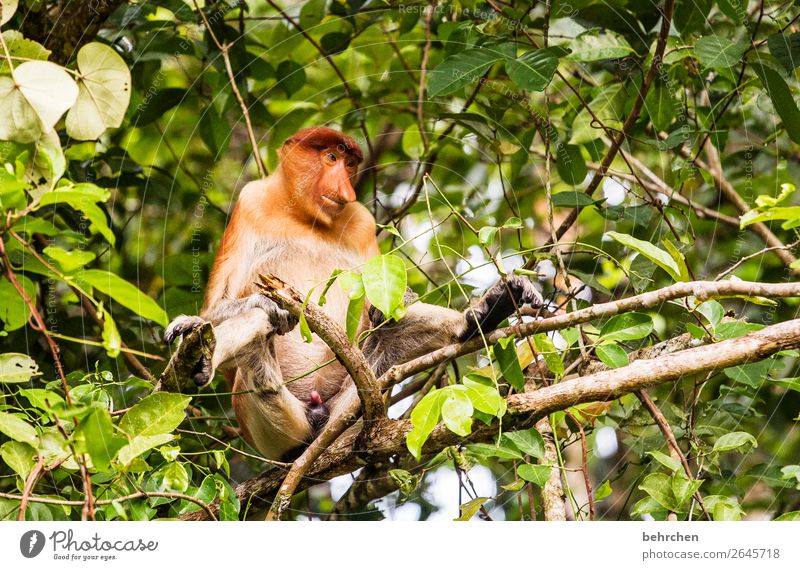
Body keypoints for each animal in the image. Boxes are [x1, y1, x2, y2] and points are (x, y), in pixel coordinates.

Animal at [166, 126, 540, 460]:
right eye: (331, 158)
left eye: (349, 165)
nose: (345, 189)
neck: (303, 216)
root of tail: (316, 417)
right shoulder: (249, 202)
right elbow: (217, 305)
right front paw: (208, 318)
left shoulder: (361, 219)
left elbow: (383, 300)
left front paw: (401, 302)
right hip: (267, 429)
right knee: (260, 332)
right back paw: (206, 357)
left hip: (350, 407)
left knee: (388, 335)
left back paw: (485, 314)